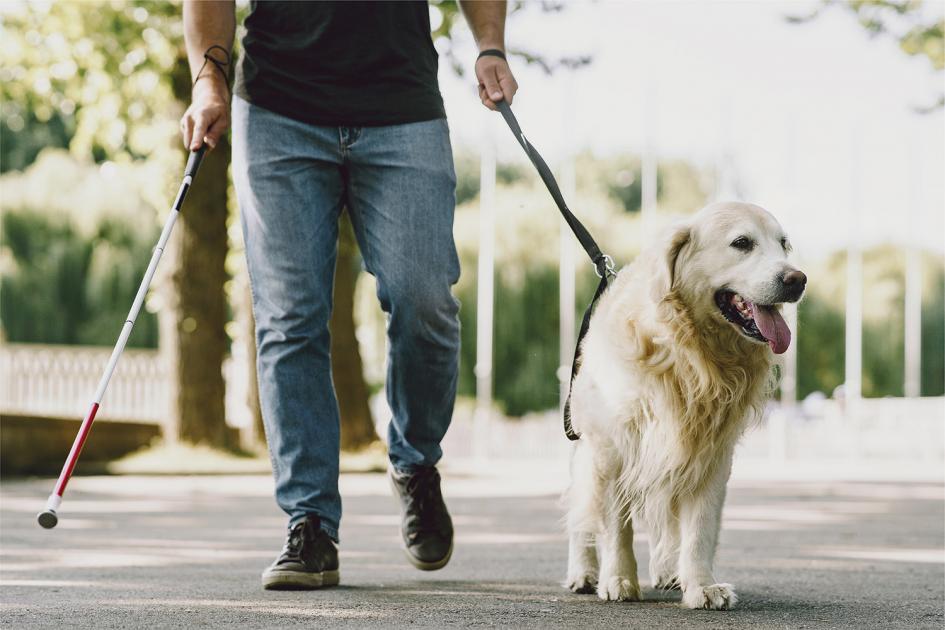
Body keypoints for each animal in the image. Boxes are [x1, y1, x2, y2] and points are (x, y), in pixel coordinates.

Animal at [564, 202, 808, 612]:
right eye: (742, 243)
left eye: (784, 244)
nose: (797, 280)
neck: (690, 352)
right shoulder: (614, 449)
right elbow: (615, 526)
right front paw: (618, 579)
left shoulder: (711, 452)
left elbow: (699, 529)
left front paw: (702, 585)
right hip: (586, 449)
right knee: (583, 515)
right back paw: (582, 573)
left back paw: (668, 572)